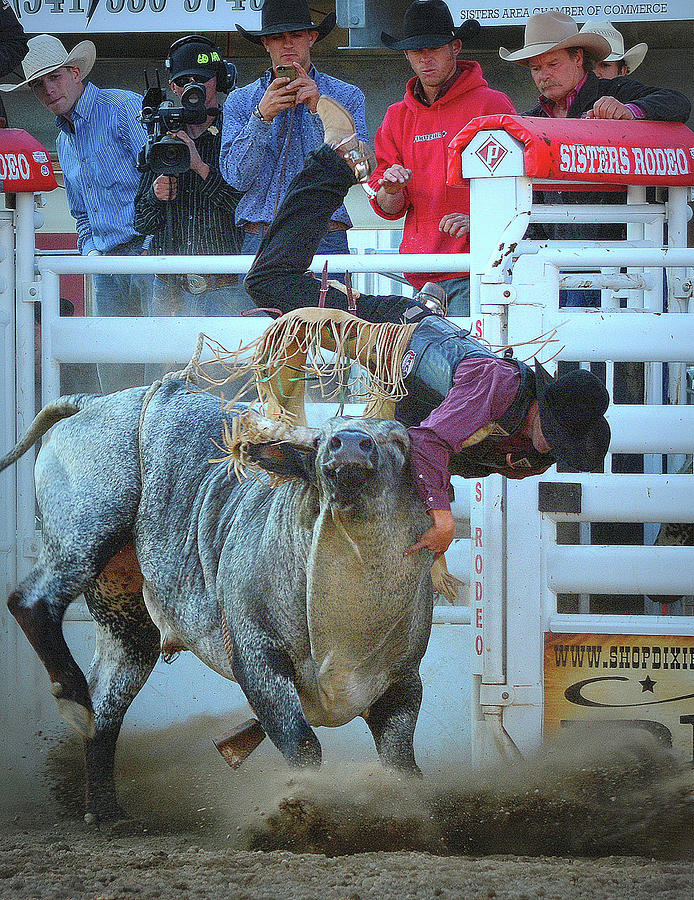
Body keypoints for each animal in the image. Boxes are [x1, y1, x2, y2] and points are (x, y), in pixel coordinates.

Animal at [1, 384, 436, 820]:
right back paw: (72, 698)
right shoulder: (256, 654)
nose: (348, 444)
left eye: (399, 442)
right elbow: (302, 744)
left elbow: (401, 761)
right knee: (31, 602)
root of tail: (95, 401)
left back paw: (106, 807)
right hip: (87, 530)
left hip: (125, 616)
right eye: (320, 440)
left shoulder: (404, 681)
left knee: (109, 701)